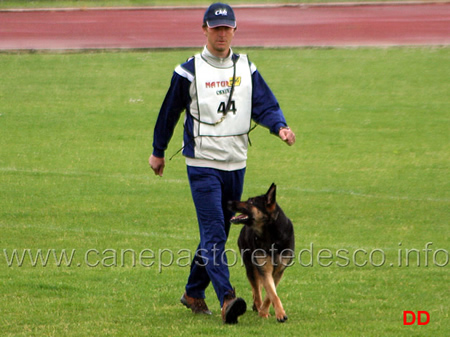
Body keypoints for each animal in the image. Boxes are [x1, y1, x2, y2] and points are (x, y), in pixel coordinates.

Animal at [229, 182, 296, 322]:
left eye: (251, 202)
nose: (229, 202)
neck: (271, 235)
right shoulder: (265, 269)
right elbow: (271, 293)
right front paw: (269, 313)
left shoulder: (278, 270)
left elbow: (270, 293)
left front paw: (271, 311)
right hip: (250, 266)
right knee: (256, 288)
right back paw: (258, 306)